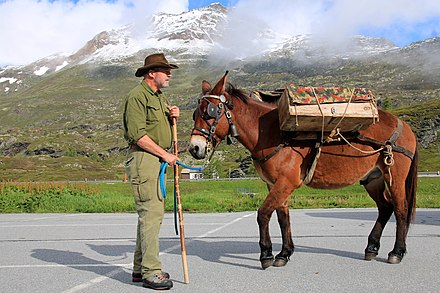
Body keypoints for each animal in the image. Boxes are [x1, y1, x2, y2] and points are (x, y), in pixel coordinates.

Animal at [187, 72, 418, 268]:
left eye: (210, 112)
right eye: (195, 113)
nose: (194, 148)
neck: (272, 133)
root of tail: (403, 125)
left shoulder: (285, 183)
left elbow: (263, 214)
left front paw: (266, 254)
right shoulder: (275, 184)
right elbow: (283, 218)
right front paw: (284, 253)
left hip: (394, 176)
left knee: (400, 209)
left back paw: (397, 252)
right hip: (373, 179)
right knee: (385, 208)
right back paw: (371, 247)